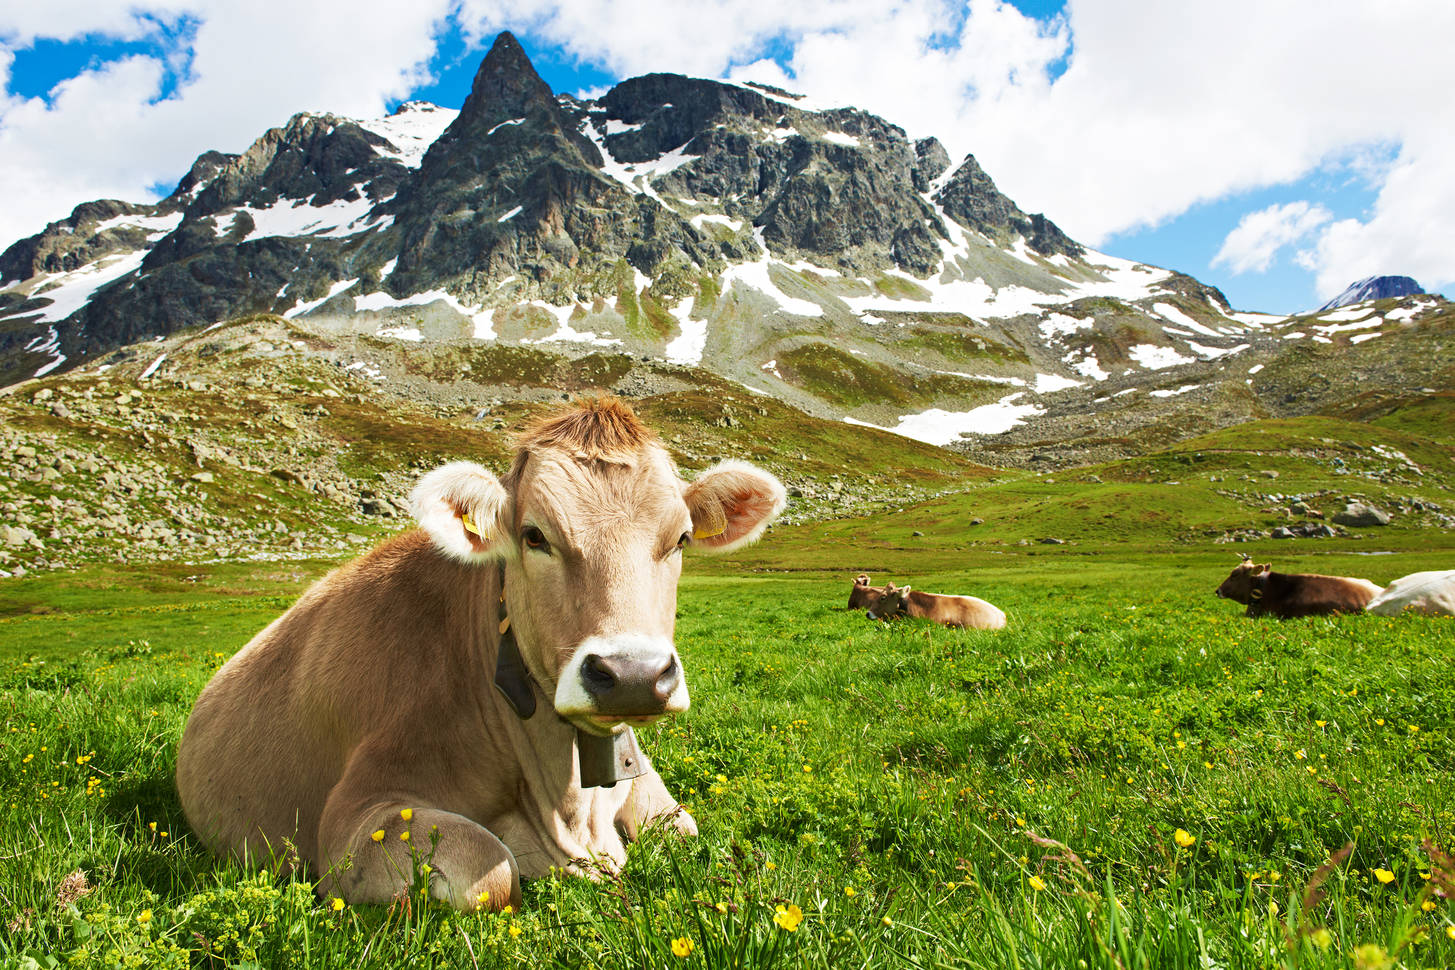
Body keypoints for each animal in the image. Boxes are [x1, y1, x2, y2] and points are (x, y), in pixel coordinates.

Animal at [177, 395, 791, 913]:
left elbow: (686, 831)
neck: (568, 809)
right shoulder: (352, 817)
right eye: (534, 535)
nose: (633, 675)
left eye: (681, 538)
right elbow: (493, 868)